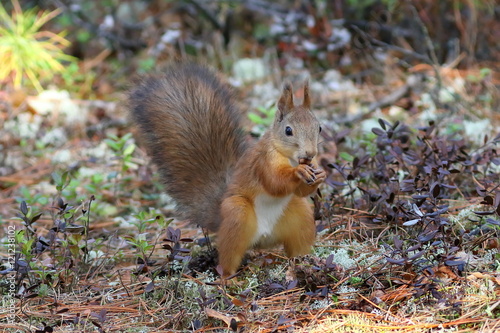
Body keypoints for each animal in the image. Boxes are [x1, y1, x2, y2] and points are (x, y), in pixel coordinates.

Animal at [127, 63, 326, 276]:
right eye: (288, 131)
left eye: (319, 128)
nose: (310, 153)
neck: (291, 159)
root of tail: (263, 237)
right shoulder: (262, 162)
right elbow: (274, 182)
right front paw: (298, 173)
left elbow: (300, 190)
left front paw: (321, 173)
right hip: (236, 216)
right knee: (228, 256)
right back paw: (230, 277)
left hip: (300, 215)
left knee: (299, 239)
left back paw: (305, 262)